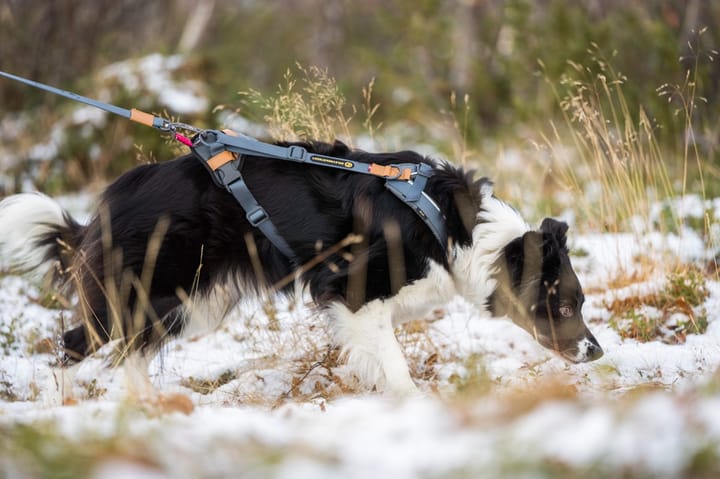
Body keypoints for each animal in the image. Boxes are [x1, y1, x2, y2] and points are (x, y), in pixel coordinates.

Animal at [0, 141, 600, 396]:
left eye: (580, 302)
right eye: (564, 303)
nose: (598, 352)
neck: (455, 230)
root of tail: (102, 211)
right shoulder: (355, 291)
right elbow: (395, 365)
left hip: (191, 304)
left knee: (126, 354)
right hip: (151, 294)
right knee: (77, 346)